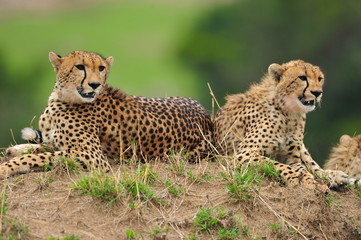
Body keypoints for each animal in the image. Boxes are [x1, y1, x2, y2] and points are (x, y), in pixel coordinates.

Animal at [0, 51, 211, 178]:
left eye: (101, 68)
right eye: (80, 66)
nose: (94, 84)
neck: (62, 98)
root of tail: (205, 114)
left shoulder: (92, 157)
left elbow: (39, 157)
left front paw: (6, 167)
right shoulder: (64, 145)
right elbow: (44, 148)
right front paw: (18, 149)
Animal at [212, 59, 348, 190]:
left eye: (319, 78)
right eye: (302, 77)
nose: (317, 92)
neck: (289, 113)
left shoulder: (292, 157)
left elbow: (303, 169)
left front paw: (310, 182)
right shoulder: (244, 153)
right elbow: (275, 164)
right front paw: (294, 178)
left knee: (313, 165)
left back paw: (335, 176)